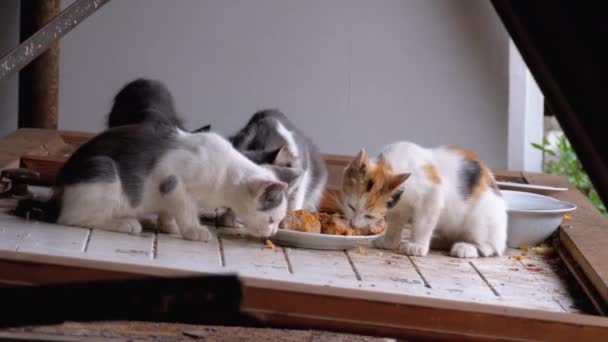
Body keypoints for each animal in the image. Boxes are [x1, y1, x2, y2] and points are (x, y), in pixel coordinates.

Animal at [16, 122, 296, 240]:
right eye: (271, 219)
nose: (273, 232)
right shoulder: (173, 182)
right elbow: (185, 209)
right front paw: (193, 231)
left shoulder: (168, 193)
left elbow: (169, 211)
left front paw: (169, 226)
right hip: (104, 172)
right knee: (72, 218)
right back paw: (125, 223)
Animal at [342, 142, 508, 260]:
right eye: (351, 206)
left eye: (369, 216)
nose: (353, 224)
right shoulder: (398, 207)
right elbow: (395, 224)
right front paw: (389, 242)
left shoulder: (433, 195)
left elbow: (423, 223)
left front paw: (417, 246)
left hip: (481, 217)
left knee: (492, 247)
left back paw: (466, 248)